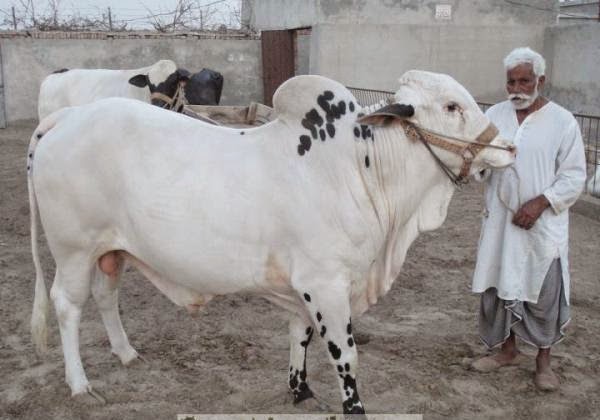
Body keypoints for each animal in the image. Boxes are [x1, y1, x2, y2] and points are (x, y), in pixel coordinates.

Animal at [28, 70, 516, 416]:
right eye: (451, 106)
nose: (509, 149)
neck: (358, 167)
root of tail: (67, 117)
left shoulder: (303, 286)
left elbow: (299, 336)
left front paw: (300, 390)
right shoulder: (326, 284)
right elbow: (346, 357)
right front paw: (353, 407)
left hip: (112, 250)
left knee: (105, 295)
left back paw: (127, 353)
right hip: (73, 251)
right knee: (68, 306)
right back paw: (80, 385)